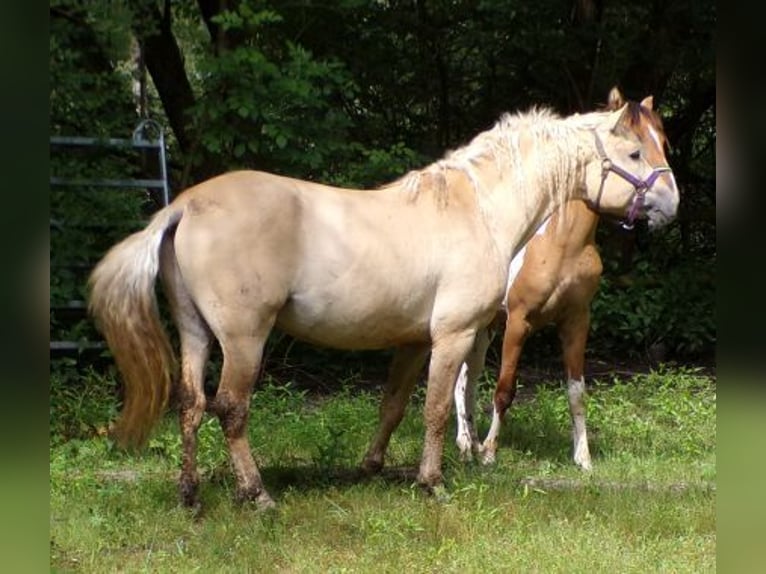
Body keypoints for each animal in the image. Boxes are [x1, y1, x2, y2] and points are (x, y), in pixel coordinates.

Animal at [452, 89, 676, 472]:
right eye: (634, 152)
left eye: (662, 143)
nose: (671, 203)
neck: (561, 243)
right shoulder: (519, 321)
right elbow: (505, 388)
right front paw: (492, 453)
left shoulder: (576, 320)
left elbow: (576, 392)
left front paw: (583, 458)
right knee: (457, 379)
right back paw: (467, 444)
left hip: (486, 326)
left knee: (469, 377)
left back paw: (471, 443)